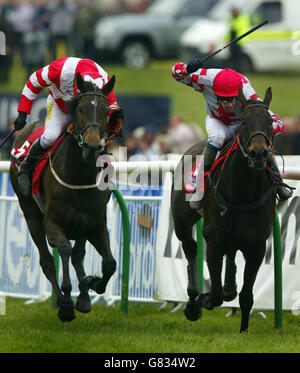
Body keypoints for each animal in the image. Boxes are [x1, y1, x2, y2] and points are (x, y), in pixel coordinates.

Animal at [9, 72, 117, 320]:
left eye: (106, 112)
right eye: (80, 110)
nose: (92, 146)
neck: (79, 177)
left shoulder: (95, 225)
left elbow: (109, 263)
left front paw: (92, 284)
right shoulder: (52, 224)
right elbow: (65, 250)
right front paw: (67, 300)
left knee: (78, 254)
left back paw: (84, 297)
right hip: (30, 214)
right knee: (47, 260)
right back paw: (63, 300)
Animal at [172, 87, 278, 332]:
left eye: (269, 122)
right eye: (245, 123)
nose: (259, 153)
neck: (242, 192)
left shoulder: (257, 246)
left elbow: (247, 296)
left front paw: (243, 330)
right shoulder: (213, 241)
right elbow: (216, 294)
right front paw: (203, 299)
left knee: (230, 257)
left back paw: (229, 286)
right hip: (181, 221)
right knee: (190, 248)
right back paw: (193, 300)